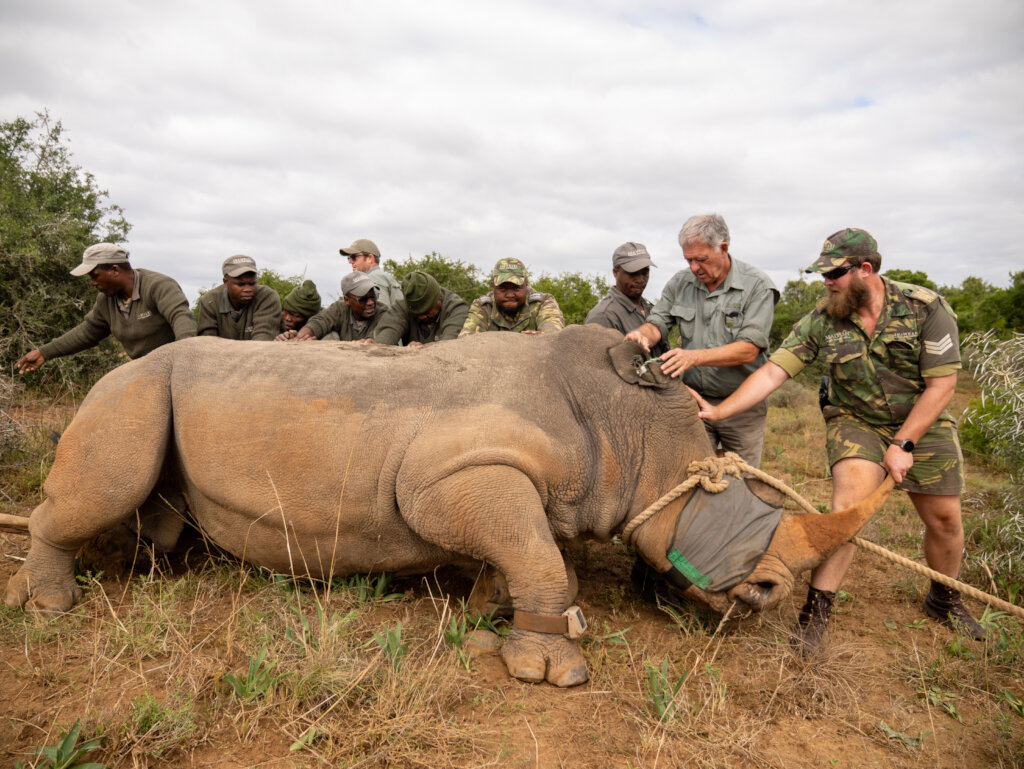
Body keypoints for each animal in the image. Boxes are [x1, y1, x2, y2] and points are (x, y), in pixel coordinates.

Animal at [6, 325, 891, 687]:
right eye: (717, 493)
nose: (767, 596)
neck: (631, 429)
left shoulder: (513, 487)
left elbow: (528, 554)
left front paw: (486, 619)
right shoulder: (448, 473)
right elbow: (541, 558)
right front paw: (553, 671)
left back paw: (161, 562)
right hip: (130, 384)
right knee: (108, 477)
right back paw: (47, 605)